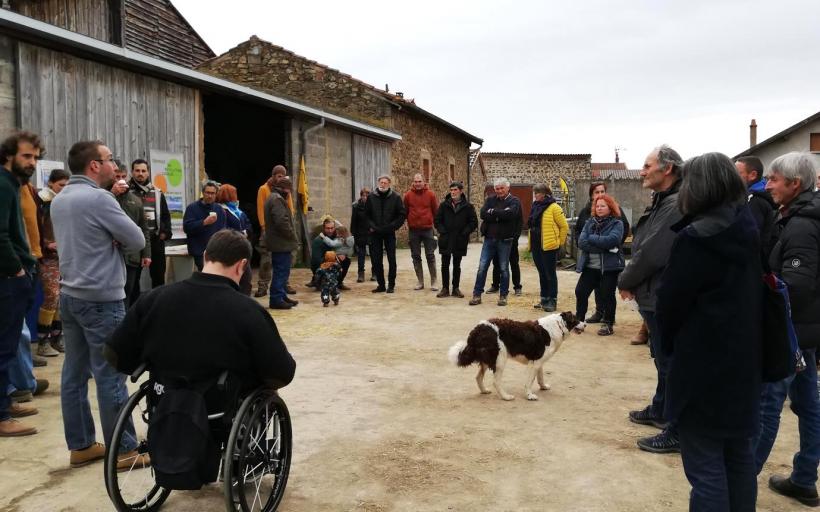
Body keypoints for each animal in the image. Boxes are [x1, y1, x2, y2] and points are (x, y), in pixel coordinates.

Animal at [448, 312, 576, 400]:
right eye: (577, 319)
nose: (582, 324)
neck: (557, 326)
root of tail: (478, 329)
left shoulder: (538, 361)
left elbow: (540, 377)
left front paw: (543, 386)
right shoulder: (534, 363)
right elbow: (529, 382)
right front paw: (529, 395)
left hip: (489, 359)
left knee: (478, 377)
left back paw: (484, 391)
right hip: (500, 360)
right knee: (496, 381)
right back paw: (506, 397)